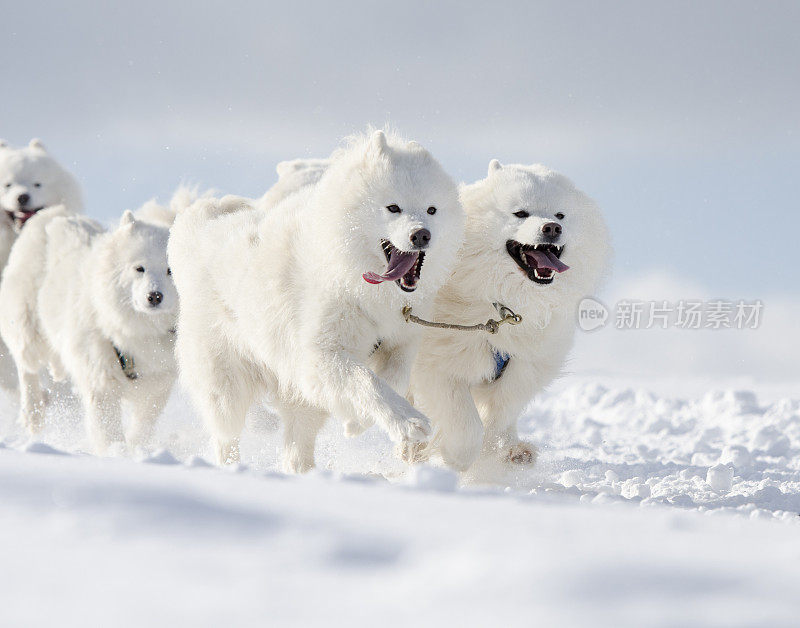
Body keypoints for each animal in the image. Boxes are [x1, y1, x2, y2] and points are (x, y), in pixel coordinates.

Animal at [0, 209, 178, 454]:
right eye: (139, 268)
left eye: (170, 271)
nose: (154, 296)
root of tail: (54, 213)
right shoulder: (101, 380)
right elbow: (108, 428)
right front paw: (116, 451)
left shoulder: (157, 384)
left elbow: (144, 424)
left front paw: (135, 447)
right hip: (28, 328)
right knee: (27, 367)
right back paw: (33, 414)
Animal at [172, 129, 466, 472]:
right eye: (393, 208)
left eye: (432, 210)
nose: (421, 234)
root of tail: (197, 229)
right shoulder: (321, 355)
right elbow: (367, 382)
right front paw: (408, 422)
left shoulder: (400, 341)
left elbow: (391, 379)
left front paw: (357, 423)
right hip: (225, 386)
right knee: (225, 436)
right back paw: (230, 468)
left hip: (298, 399)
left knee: (297, 443)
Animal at [410, 162, 608, 472]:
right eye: (520, 213)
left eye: (560, 215)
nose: (552, 227)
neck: (505, 305)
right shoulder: (437, 363)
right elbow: (464, 421)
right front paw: (457, 457)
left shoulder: (526, 365)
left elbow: (502, 411)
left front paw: (502, 451)